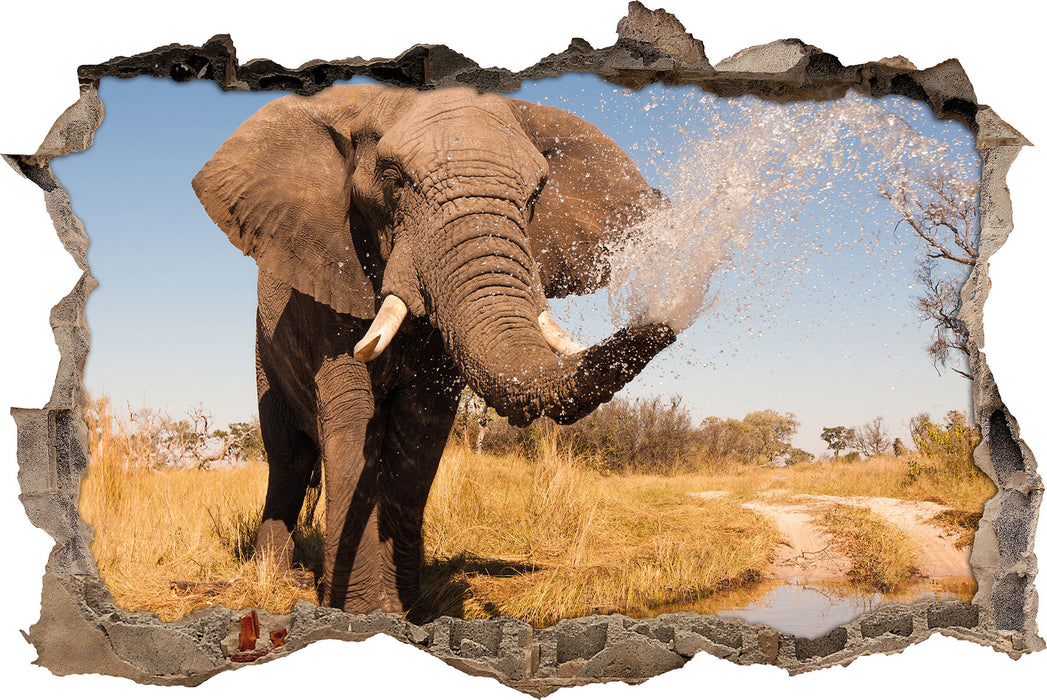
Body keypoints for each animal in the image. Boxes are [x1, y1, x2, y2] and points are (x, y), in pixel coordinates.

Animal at [192, 83, 676, 615]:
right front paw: (367, 613)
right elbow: (351, 415)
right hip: (264, 352)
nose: (667, 317)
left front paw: (410, 611)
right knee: (288, 457)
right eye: (393, 179)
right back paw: (275, 574)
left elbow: (421, 425)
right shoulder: (329, 275)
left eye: (536, 194)